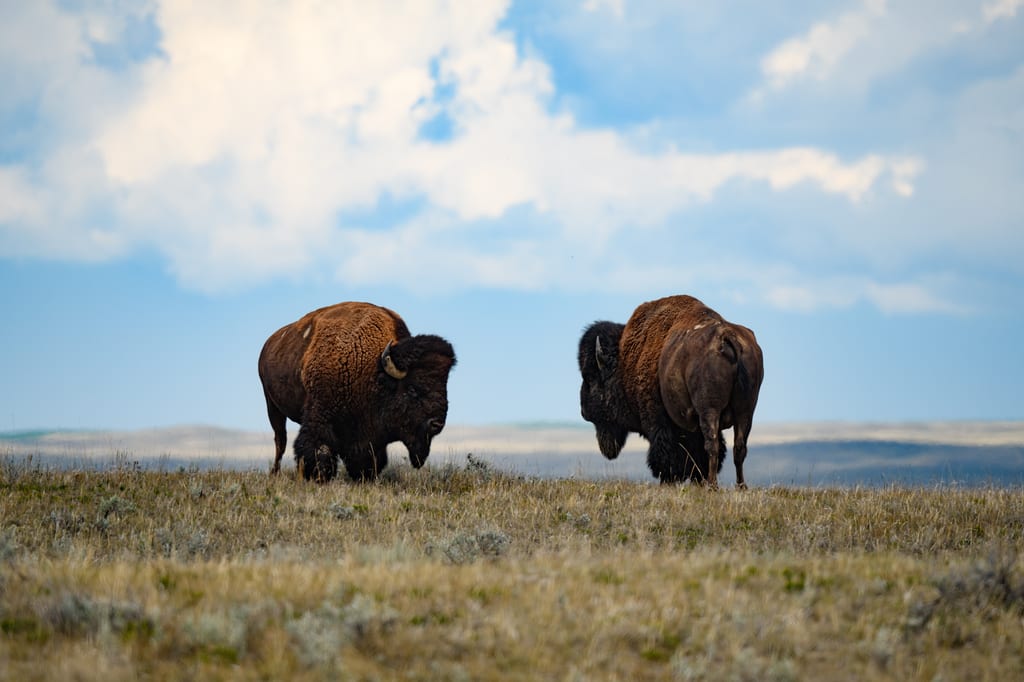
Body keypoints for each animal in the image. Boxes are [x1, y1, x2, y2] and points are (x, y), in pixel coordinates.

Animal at [258, 302, 456, 482]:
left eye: (444, 387)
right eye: (412, 389)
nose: (437, 423)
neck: (373, 371)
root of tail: (268, 344)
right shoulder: (320, 414)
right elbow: (319, 448)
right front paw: (319, 477)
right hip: (272, 406)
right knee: (280, 441)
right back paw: (274, 473)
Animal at [579, 295, 763, 487]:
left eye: (590, 377)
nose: (584, 411)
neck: (624, 362)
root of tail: (728, 336)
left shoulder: (658, 420)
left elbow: (665, 452)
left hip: (710, 411)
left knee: (712, 445)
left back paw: (712, 485)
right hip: (746, 411)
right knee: (739, 447)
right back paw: (740, 486)